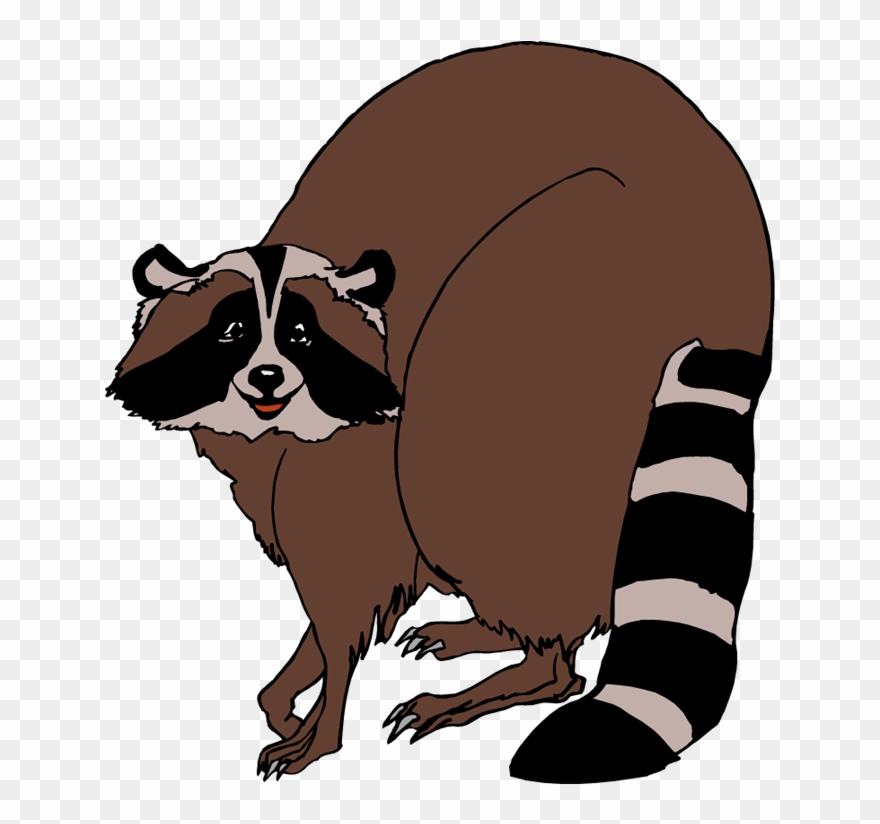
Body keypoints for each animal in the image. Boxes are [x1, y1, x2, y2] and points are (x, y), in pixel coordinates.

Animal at [109, 42, 773, 783]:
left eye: (301, 335)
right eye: (231, 332)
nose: (268, 377)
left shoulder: (357, 455)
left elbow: (348, 578)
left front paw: (323, 715)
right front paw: (293, 685)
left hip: (565, 302)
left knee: (463, 493)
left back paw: (532, 667)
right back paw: (497, 633)